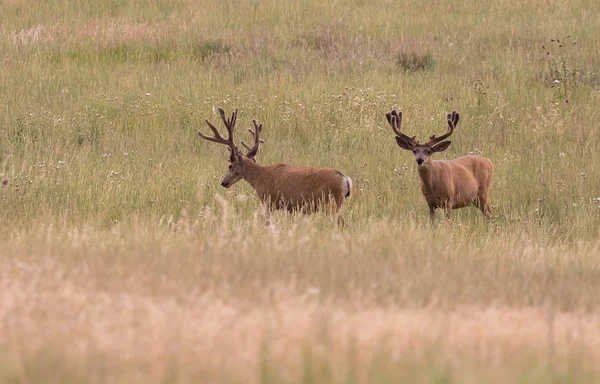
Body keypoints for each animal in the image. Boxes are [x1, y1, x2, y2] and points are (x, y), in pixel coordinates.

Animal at [197, 106, 352, 226]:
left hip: (332, 203)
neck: (259, 178)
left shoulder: (268, 201)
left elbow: (268, 223)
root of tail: (345, 179)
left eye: (230, 165)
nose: (224, 182)